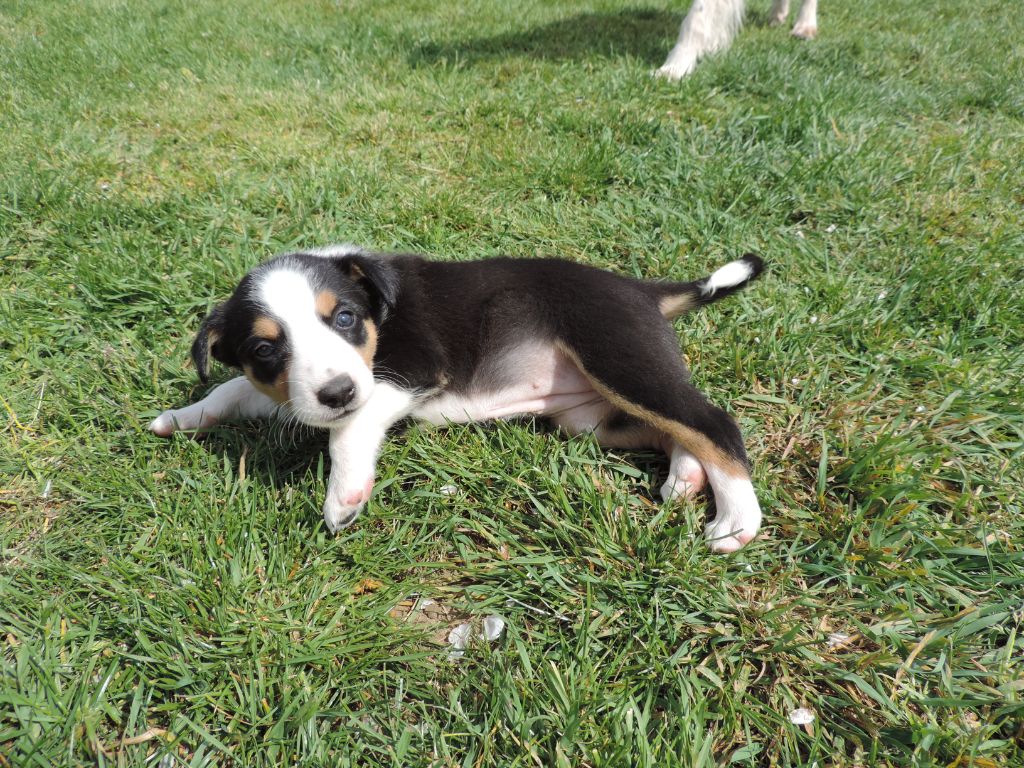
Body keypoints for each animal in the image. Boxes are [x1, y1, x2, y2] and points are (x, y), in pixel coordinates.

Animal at [150, 246, 765, 552]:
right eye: (264, 348)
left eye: (344, 318)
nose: (337, 392)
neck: (376, 309)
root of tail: (640, 289)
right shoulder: (294, 392)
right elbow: (232, 386)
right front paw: (179, 417)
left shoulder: (411, 370)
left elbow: (350, 428)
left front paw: (344, 495)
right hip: (593, 416)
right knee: (679, 429)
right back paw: (686, 476)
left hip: (618, 356)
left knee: (714, 421)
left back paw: (736, 521)